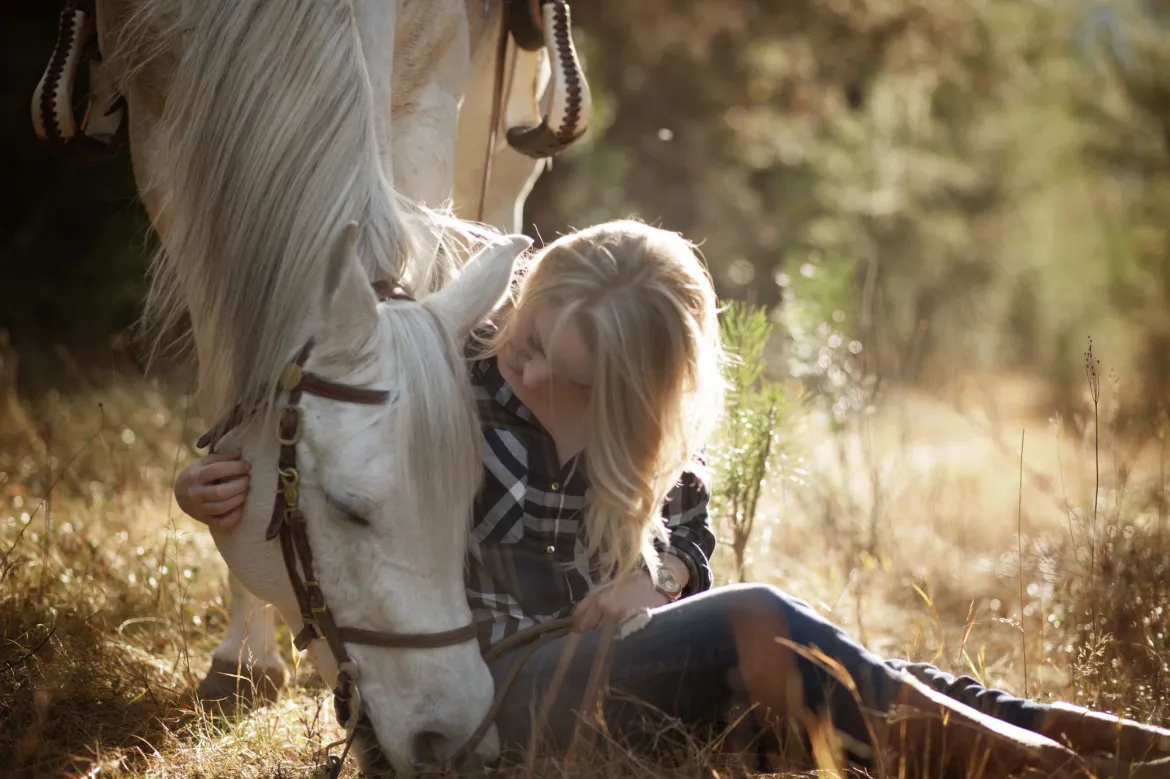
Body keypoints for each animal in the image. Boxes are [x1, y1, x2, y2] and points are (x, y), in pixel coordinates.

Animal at [32, 0, 591, 774]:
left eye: (469, 500)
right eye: (350, 511)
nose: (452, 736)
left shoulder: (427, 94)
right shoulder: (164, 143)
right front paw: (241, 658)